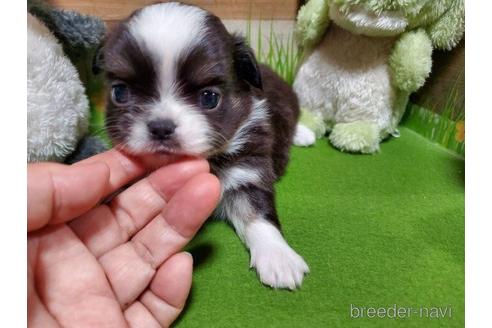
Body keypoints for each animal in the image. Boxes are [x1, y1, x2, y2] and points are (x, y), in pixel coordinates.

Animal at [98, 2, 310, 290]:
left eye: (210, 98)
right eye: (119, 92)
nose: (161, 127)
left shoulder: (248, 171)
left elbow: (259, 215)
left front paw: (279, 258)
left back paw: (305, 133)